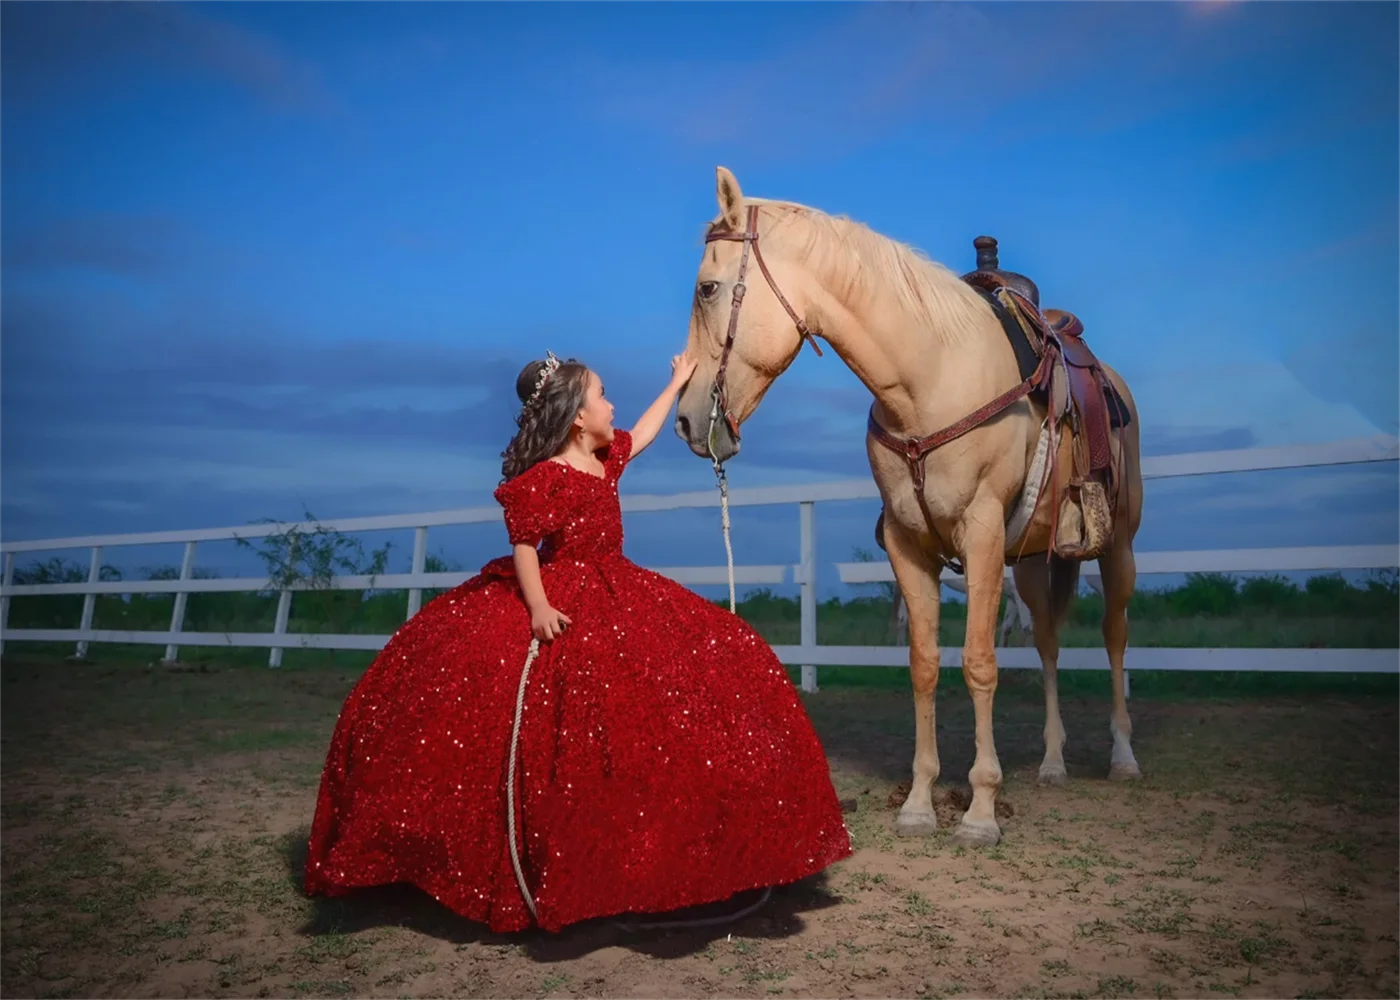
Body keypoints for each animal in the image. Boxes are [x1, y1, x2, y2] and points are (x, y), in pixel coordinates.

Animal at [672, 167, 1142, 845]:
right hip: (1033, 563)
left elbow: (979, 663)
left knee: (1114, 636)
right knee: (1050, 647)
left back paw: (1123, 757)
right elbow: (923, 665)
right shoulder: (907, 544)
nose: (685, 419)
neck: (929, 383)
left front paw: (980, 810)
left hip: (1118, 548)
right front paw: (920, 803)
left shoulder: (981, 536)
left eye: (707, 288)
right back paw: (1052, 763)